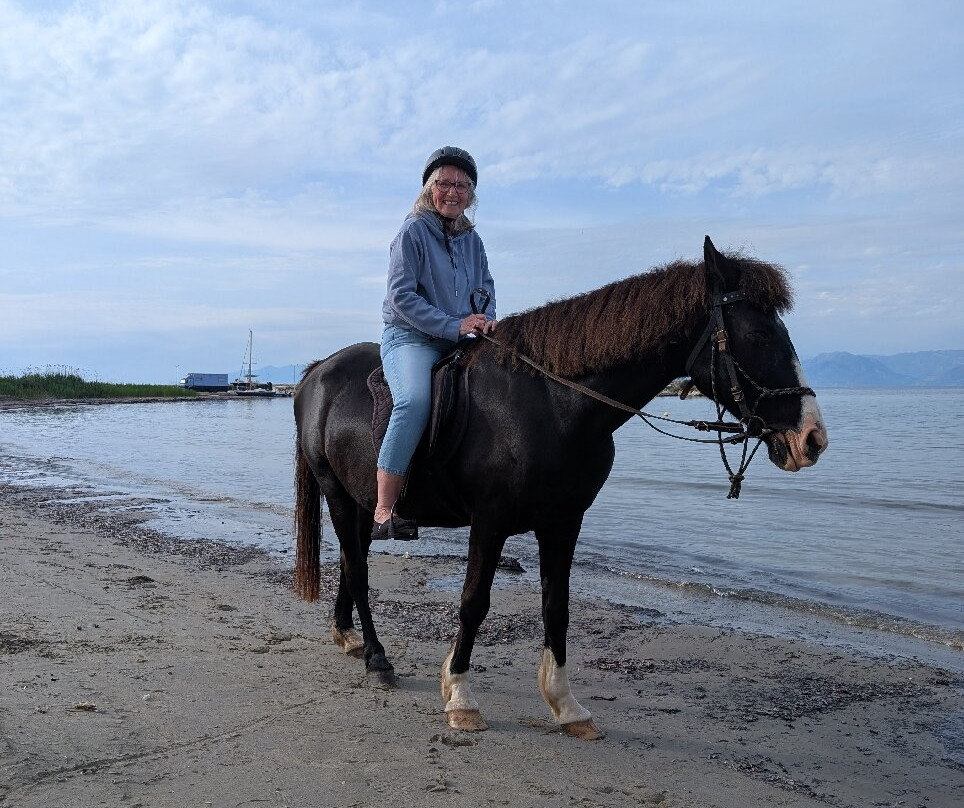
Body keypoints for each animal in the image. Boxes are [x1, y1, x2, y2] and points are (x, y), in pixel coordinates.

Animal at [292, 236, 828, 739]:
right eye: (758, 333)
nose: (812, 438)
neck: (552, 403)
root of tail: (317, 371)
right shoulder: (490, 522)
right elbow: (474, 602)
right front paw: (461, 695)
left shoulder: (564, 522)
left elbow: (558, 608)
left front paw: (566, 705)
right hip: (338, 496)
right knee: (358, 569)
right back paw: (377, 656)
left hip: (362, 503)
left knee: (353, 565)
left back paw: (348, 636)